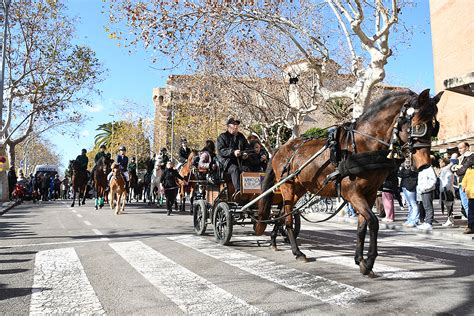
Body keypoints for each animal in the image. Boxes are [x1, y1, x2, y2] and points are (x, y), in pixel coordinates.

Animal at [258, 89, 442, 276]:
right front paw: (369, 262)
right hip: (287, 187)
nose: (424, 163)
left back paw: (274, 241)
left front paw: (360, 260)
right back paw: (297, 252)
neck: (364, 144)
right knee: (287, 219)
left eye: (434, 126)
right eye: (418, 125)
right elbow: (373, 222)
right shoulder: (352, 193)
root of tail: (279, 149)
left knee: (282, 214)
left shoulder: (369, 194)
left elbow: (362, 226)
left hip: (299, 189)